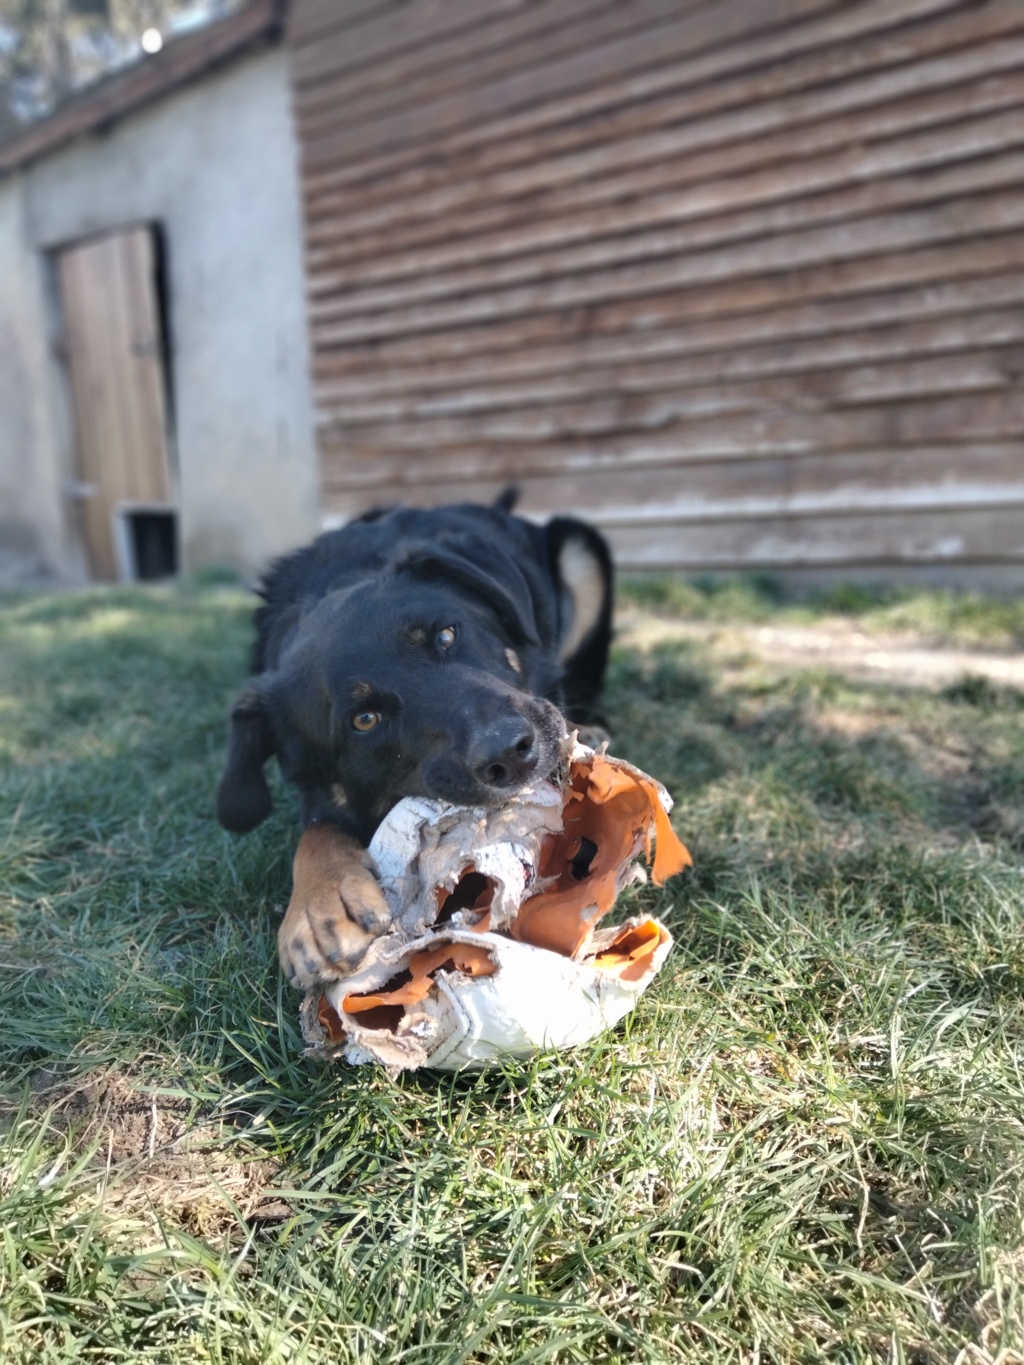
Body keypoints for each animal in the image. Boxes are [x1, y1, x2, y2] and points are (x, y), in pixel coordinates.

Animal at [217, 496, 614, 988]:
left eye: (446, 634)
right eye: (365, 720)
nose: (509, 751)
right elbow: (317, 825)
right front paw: (321, 900)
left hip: (581, 549)